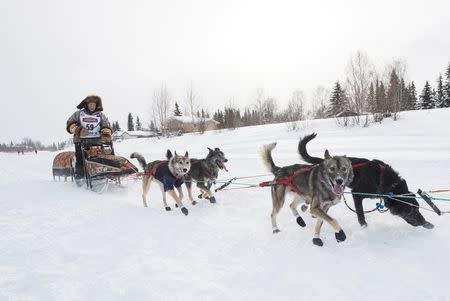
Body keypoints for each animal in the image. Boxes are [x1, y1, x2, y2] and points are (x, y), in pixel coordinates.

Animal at [298, 132, 434, 229]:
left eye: (418, 208)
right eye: (410, 211)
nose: (426, 223)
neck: (384, 180)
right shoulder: (357, 194)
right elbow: (361, 213)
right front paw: (364, 226)